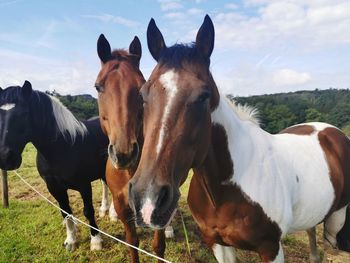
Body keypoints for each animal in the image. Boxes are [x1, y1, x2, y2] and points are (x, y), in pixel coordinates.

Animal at [0, 82, 111, 252]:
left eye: (24, 114)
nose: (6, 158)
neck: (64, 147)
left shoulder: (84, 185)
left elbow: (88, 211)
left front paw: (96, 240)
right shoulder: (54, 187)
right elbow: (66, 212)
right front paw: (71, 241)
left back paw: (113, 215)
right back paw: (104, 210)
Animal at [95, 34, 173, 262]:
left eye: (140, 88)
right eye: (98, 87)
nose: (124, 153)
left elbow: (158, 245)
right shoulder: (123, 206)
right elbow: (132, 243)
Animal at [128, 15, 350, 262]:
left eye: (204, 96)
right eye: (143, 95)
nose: (148, 199)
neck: (228, 187)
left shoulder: (271, 248)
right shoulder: (217, 243)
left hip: (337, 224)